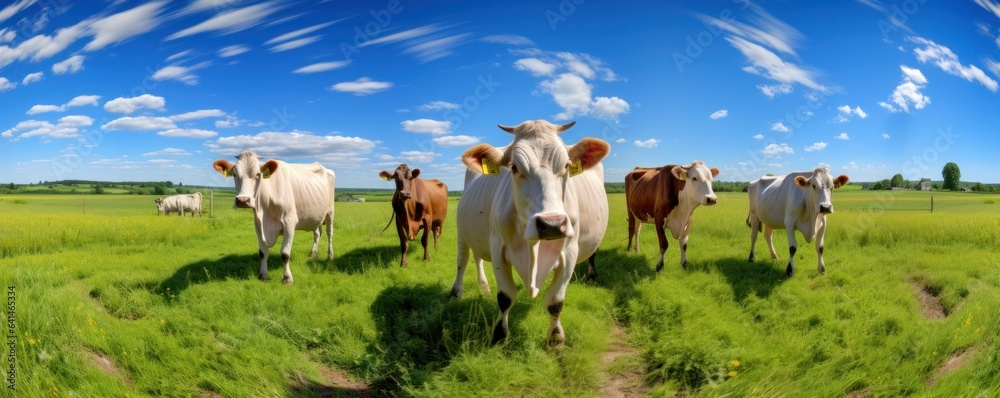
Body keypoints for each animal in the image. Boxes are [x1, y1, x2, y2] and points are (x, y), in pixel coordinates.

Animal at [211, 151, 336, 284]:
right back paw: (312, 254)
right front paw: (262, 275)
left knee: (329, 233)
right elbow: (263, 253)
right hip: (315, 217)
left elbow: (285, 254)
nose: (243, 200)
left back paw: (330, 256)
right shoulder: (258, 225)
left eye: (258, 174)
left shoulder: (289, 222)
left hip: (330, 212)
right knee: (317, 233)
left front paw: (287, 278)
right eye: (234, 174)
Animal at [454, 119, 608, 346]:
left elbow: (555, 301)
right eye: (514, 167)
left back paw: (483, 286)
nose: (552, 224)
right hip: (461, 231)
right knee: (463, 260)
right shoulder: (498, 250)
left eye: (566, 166)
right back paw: (457, 293)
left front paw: (555, 339)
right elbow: (505, 297)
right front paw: (499, 335)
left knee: (477, 257)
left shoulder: (570, 253)